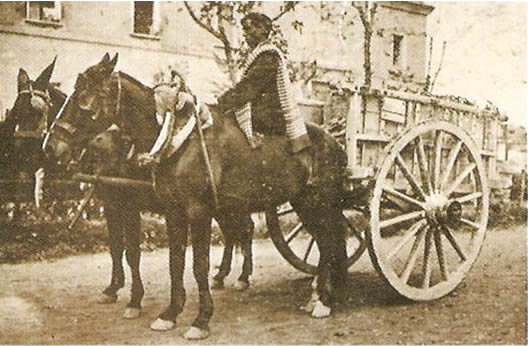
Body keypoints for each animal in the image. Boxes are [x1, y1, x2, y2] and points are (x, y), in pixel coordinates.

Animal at [44, 52, 350, 340]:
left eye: (82, 98)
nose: (51, 146)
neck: (174, 141)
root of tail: (334, 141)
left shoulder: (193, 211)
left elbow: (195, 265)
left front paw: (200, 319)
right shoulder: (169, 211)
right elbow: (172, 261)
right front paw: (169, 313)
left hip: (317, 203)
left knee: (327, 242)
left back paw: (322, 300)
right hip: (300, 204)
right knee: (319, 243)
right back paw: (316, 295)